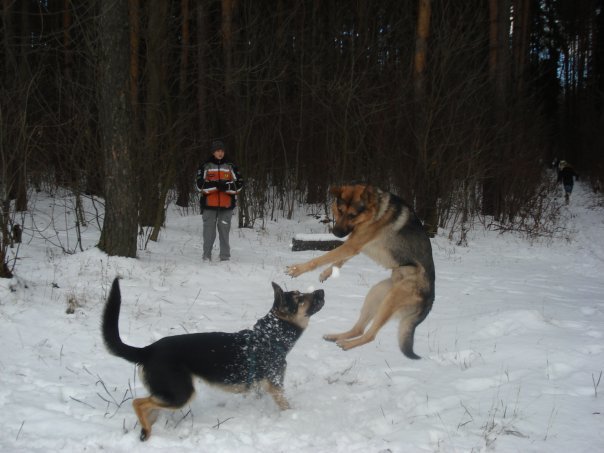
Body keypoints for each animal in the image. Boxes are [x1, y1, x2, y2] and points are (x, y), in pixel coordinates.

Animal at [101, 278, 324, 440]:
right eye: (300, 298)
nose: (321, 291)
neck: (270, 337)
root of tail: (147, 350)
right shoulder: (276, 387)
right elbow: (287, 406)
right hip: (180, 394)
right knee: (138, 403)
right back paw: (146, 429)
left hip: (166, 394)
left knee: (149, 407)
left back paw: (145, 432)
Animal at [286, 183, 434, 356]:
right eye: (340, 211)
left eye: (352, 215)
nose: (336, 233)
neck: (374, 213)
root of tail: (430, 300)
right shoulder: (355, 246)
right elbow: (337, 261)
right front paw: (327, 273)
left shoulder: (352, 245)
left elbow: (321, 259)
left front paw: (297, 269)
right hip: (376, 294)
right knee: (359, 329)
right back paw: (336, 337)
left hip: (389, 302)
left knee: (370, 335)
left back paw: (347, 344)